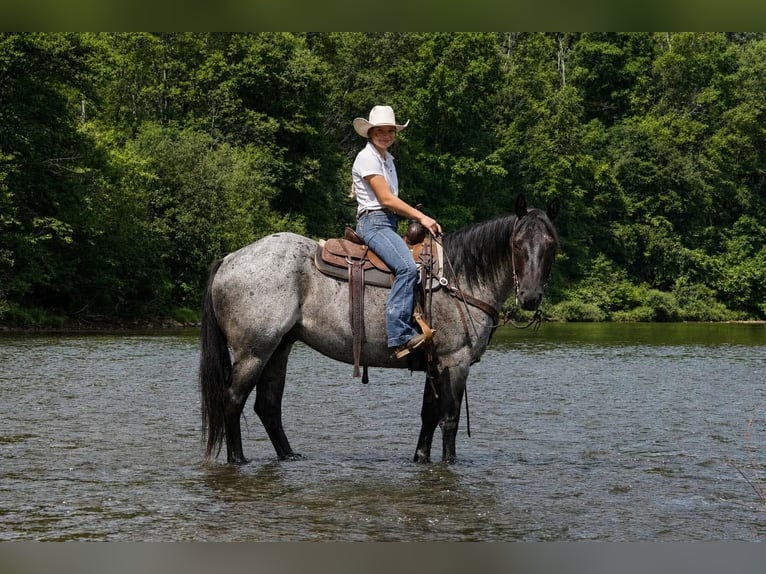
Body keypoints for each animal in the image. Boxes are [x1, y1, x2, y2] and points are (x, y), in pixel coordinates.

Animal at [199, 193, 560, 464]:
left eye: (551, 244)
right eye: (517, 243)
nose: (530, 297)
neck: (460, 279)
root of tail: (229, 258)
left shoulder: (434, 363)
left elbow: (428, 415)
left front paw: (420, 458)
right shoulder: (454, 361)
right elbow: (450, 419)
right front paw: (449, 463)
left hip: (279, 348)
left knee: (268, 405)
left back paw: (289, 456)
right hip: (254, 351)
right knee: (233, 399)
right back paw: (238, 459)